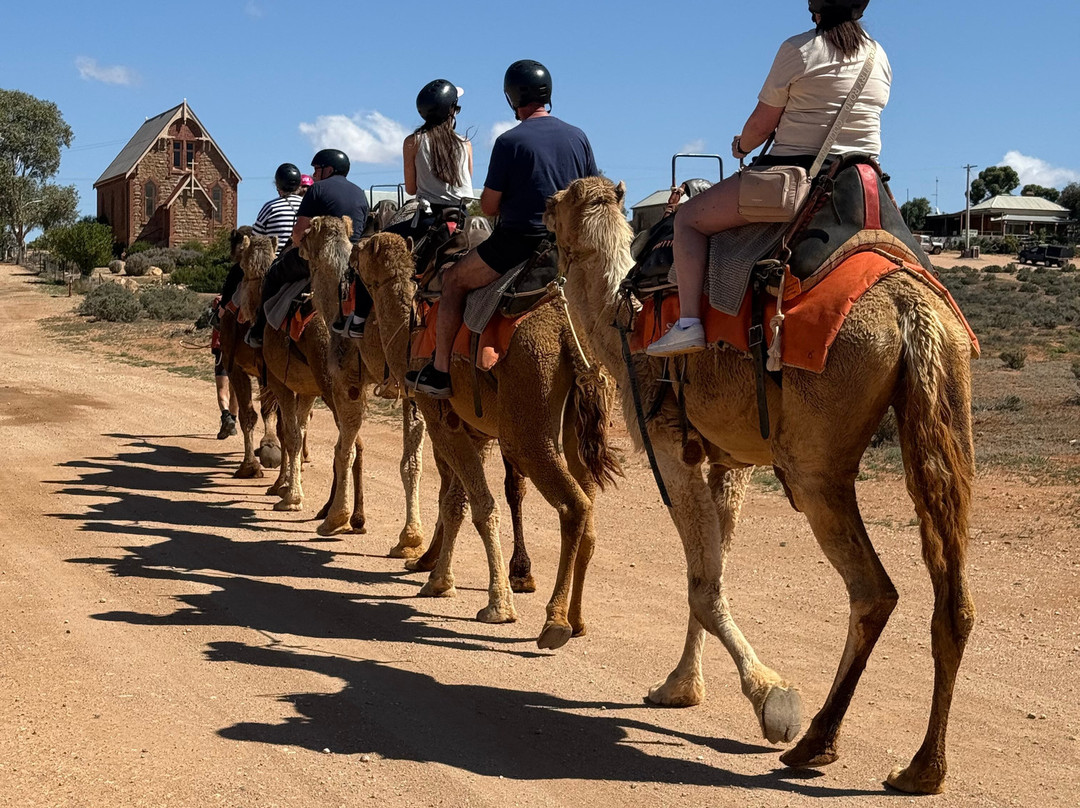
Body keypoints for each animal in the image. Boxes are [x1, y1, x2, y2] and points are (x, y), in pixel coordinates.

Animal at [299, 215, 538, 590]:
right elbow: (413, 465)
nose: (297, 245)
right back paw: (510, 571)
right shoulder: (414, 393)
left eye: (307, 230)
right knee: (505, 480)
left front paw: (335, 518)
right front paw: (410, 541)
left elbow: (344, 449)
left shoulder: (347, 379)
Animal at [351, 231, 621, 647]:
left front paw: (496, 605)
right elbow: (456, 502)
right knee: (589, 511)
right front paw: (436, 579)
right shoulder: (471, 429)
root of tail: (567, 334)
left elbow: (480, 505)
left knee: (573, 504)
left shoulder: (438, 415)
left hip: (526, 418)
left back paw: (555, 622)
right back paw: (577, 621)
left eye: (366, 248)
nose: (353, 248)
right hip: (581, 414)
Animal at [545, 176, 976, 795]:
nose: (538, 228)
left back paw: (815, 741)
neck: (620, 319)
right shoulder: (731, 459)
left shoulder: (667, 443)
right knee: (954, 599)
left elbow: (703, 583)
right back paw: (920, 769)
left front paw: (770, 700)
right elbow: (711, 571)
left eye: (551, 208)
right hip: (947, 406)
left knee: (874, 590)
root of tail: (910, 308)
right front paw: (679, 688)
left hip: (814, 461)